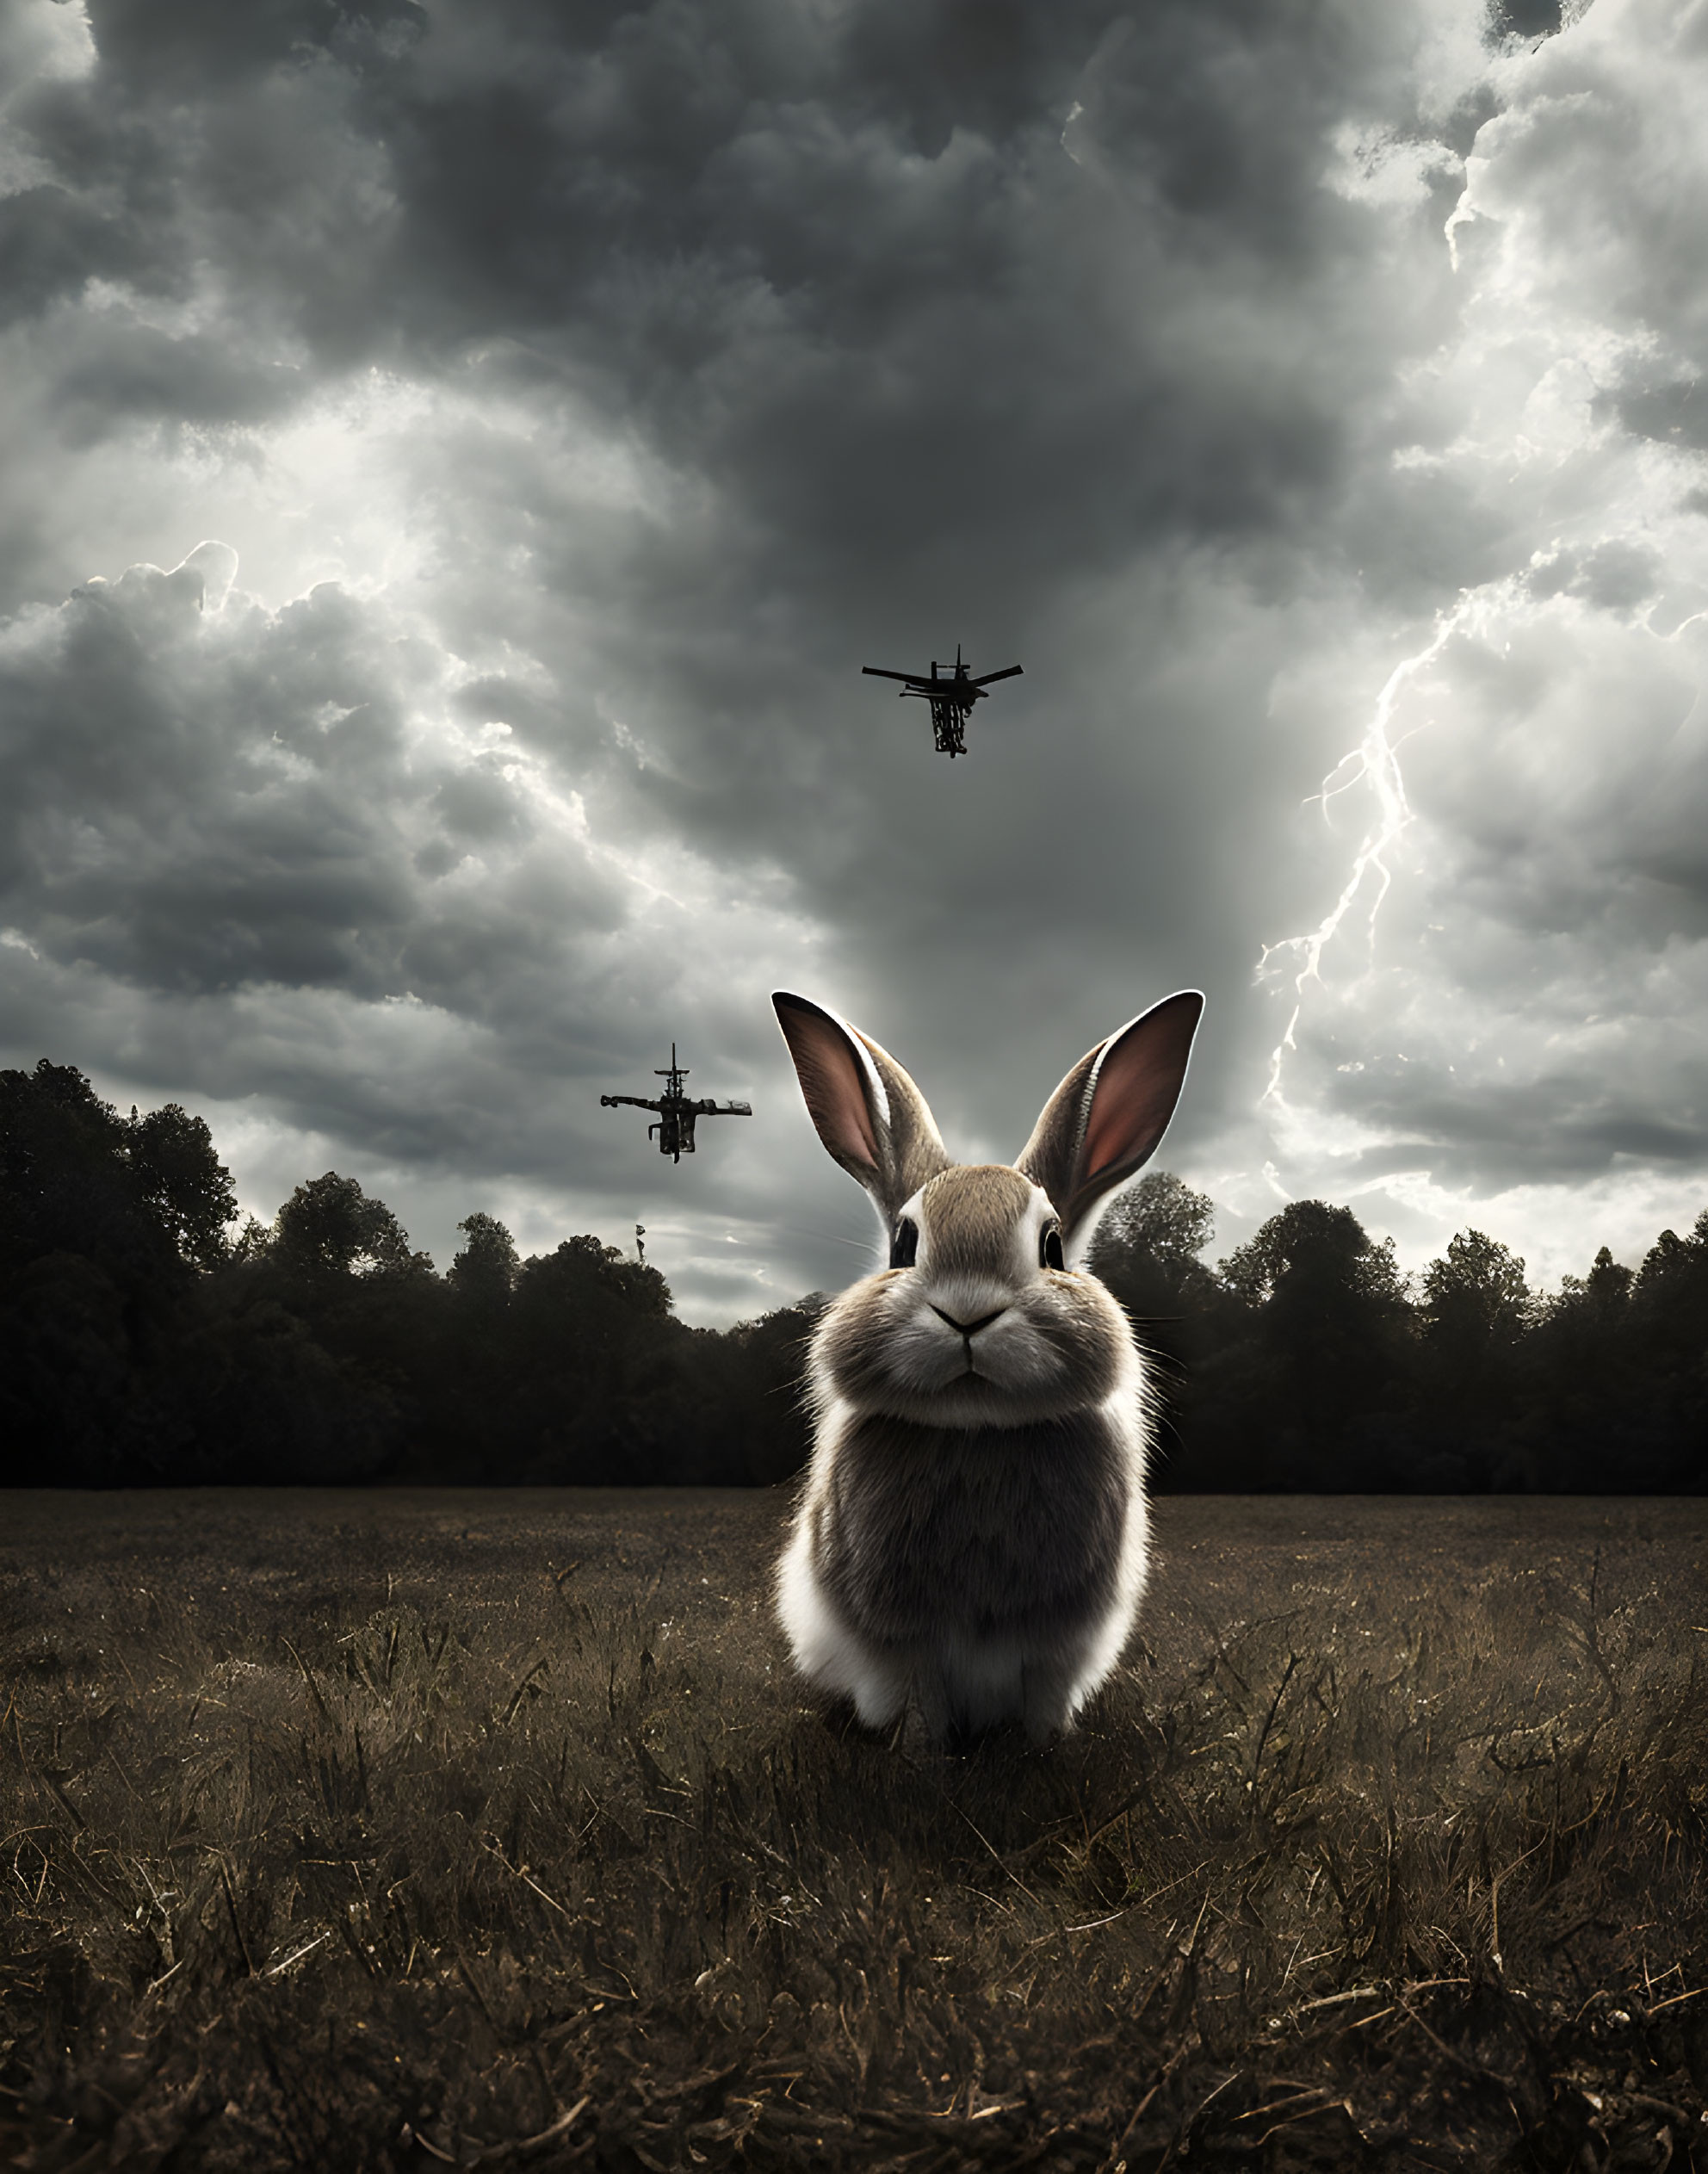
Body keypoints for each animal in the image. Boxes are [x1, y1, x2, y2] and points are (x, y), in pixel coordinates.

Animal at [769, 991, 1199, 1748]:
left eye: (1052, 1247)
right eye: (903, 1245)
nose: (967, 1313)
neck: (977, 1426)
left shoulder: (1056, 1645)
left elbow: (1042, 1699)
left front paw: (1045, 1751)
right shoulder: (898, 1641)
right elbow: (919, 1702)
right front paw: (924, 1758)